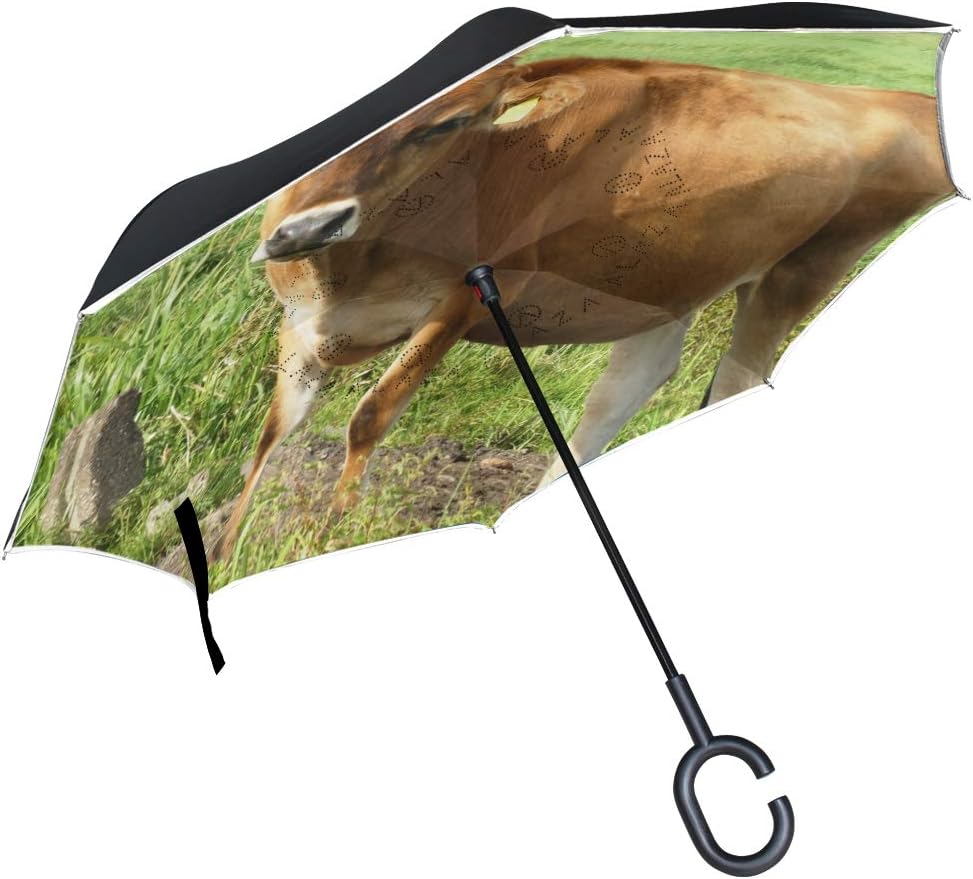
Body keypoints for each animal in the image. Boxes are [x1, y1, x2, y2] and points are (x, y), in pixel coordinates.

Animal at [212, 55, 954, 561]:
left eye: (449, 124)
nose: (300, 229)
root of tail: (908, 101)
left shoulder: (462, 304)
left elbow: (370, 415)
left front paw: (324, 532)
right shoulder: (299, 329)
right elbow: (271, 434)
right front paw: (222, 552)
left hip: (801, 270)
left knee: (734, 379)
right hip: (672, 282)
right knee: (627, 389)